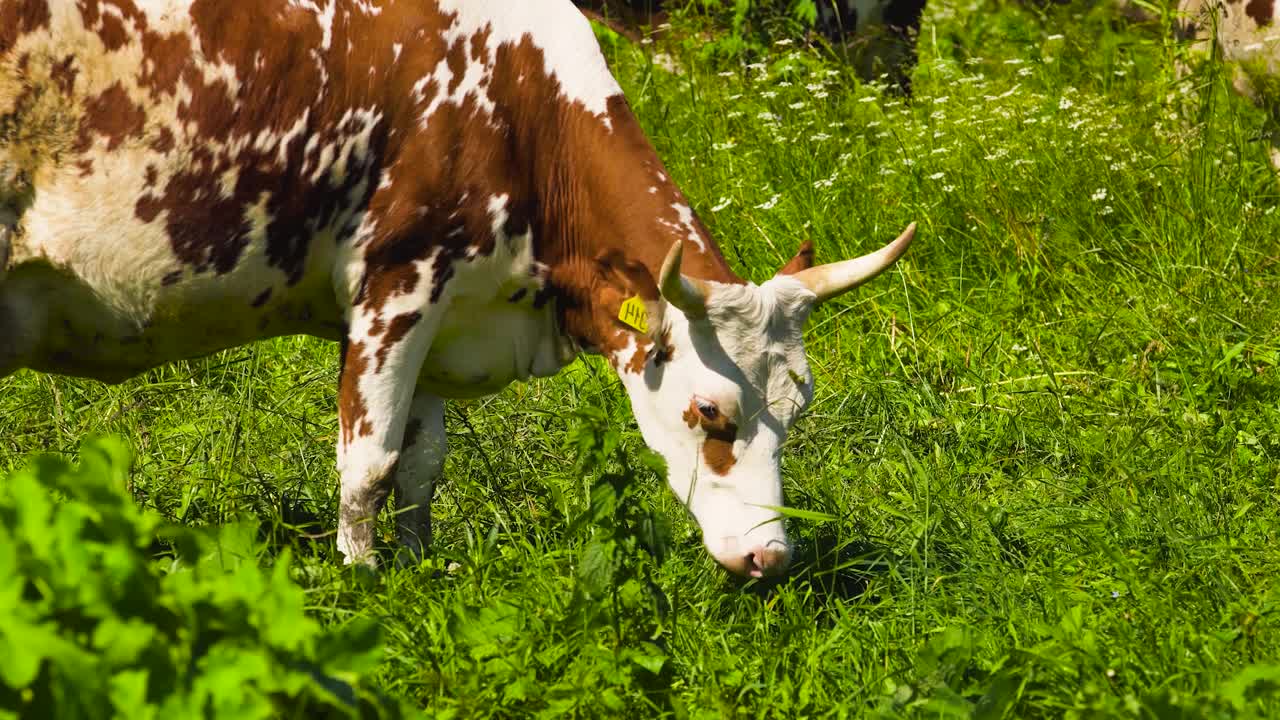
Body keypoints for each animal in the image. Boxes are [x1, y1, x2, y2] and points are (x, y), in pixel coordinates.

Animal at [2, 0, 921, 573]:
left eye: (797, 410)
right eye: (710, 411)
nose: (769, 557)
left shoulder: (448, 311)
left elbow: (421, 464)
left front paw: (416, 567)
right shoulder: (397, 284)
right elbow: (369, 464)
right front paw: (363, 580)